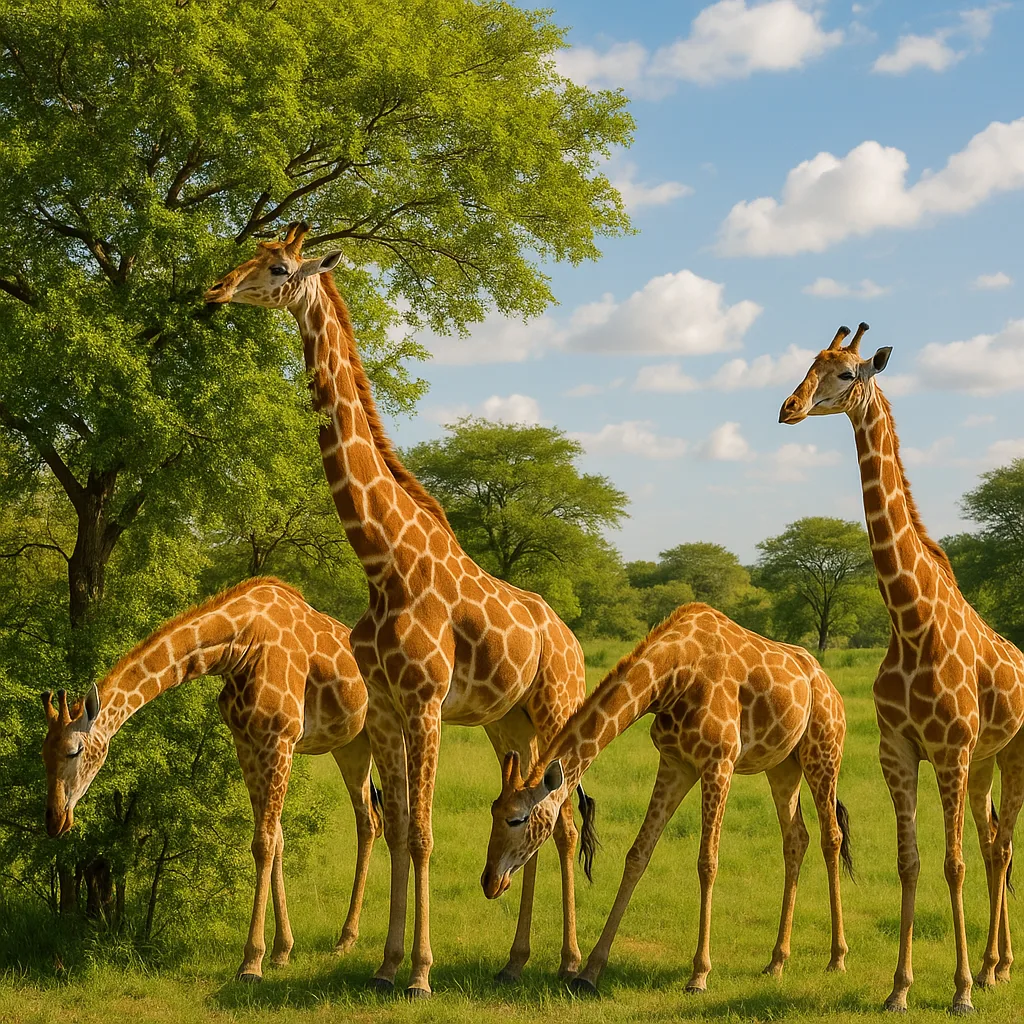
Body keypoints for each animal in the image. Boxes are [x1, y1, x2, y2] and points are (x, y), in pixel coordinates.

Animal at [41, 576, 383, 982]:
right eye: (42, 753)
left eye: (74, 750)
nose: (55, 820)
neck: (238, 643)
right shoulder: (247, 742)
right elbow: (277, 839)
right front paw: (282, 950)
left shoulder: (280, 739)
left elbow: (263, 843)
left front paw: (252, 962)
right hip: (351, 744)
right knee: (370, 820)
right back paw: (346, 938)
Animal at [204, 224, 594, 997]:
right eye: (250, 254)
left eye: (280, 267)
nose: (216, 289)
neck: (383, 560)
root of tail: (571, 640)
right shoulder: (384, 704)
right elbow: (397, 830)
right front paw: (384, 964)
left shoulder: (425, 699)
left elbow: (420, 833)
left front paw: (419, 972)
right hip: (509, 723)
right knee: (533, 811)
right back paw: (515, 960)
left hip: (557, 704)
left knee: (563, 825)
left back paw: (567, 962)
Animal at [482, 602, 853, 997]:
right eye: (493, 812)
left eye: (517, 819)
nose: (489, 882)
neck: (674, 673)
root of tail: (829, 685)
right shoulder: (675, 763)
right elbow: (637, 855)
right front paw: (589, 972)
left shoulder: (719, 763)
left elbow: (707, 863)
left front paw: (699, 975)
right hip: (783, 766)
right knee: (796, 839)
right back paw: (776, 962)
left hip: (823, 752)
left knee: (831, 837)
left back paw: (837, 958)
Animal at [780, 322, 1024, 1014]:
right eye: (808, 364)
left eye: (846, 373)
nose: (789, 408)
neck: (910, 623)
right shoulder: (900, 748)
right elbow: (910, 863)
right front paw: (900, 987)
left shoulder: (949, 749)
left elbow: (952, 863)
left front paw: (960, 991)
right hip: (984, 760)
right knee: (994, 845)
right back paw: (996, 966)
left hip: (1009, 754)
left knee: (1000, 848)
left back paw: (992, 970)